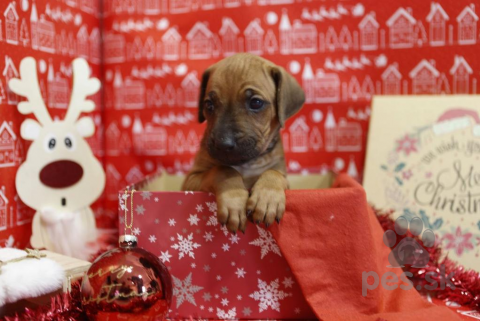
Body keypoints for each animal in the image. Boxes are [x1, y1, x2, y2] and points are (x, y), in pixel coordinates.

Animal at [182, 52, 306, 232]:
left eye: (256, 102)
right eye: (209, 104)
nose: (223, 143)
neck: (245, 163)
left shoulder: (282, 174)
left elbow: (273, 173)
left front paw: (267, 197)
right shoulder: (190, 180)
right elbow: (223, 169)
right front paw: (234, 200)